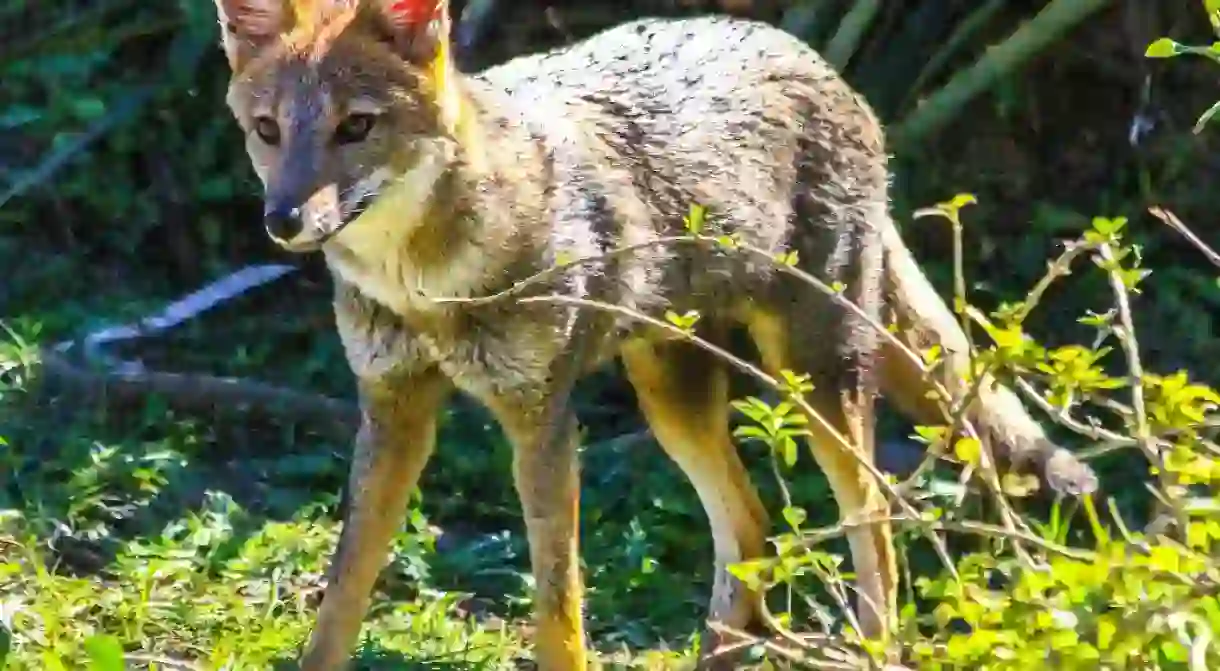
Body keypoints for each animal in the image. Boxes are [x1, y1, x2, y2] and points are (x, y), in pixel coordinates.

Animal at [214, 0, 1102, 668]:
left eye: (356, 128)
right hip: (671, 397)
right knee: (751, 525)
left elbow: (557, 605)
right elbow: (343, 593)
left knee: (874, 521)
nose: (283, 219)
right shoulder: (393, 409)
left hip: (813, 385)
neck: (426, 283)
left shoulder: (542, 420)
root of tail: (805, 52)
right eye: (268, 130)